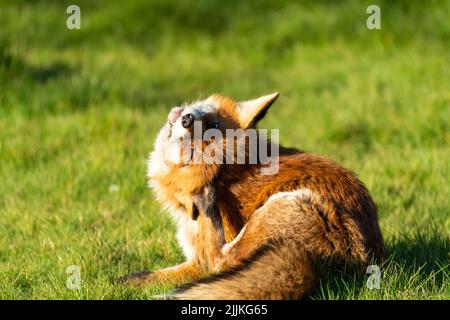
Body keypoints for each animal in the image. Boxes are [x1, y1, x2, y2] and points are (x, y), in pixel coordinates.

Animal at [118, 92, 384, 300]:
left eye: (212, 126)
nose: (186, 119)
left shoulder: (199, 260)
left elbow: (192, 270)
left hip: (276, 210)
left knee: (220, 260)